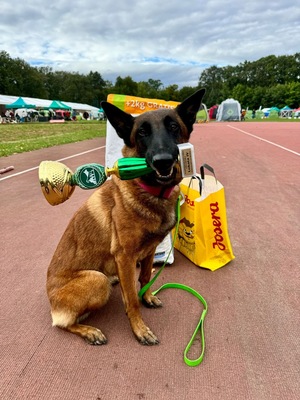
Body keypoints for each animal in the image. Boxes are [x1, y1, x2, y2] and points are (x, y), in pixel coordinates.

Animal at [47, 89, 205, 346]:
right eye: (142, 132)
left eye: (173, 126)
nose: (163, 160)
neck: (149, 191)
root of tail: (51, 302)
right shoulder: (125, 256)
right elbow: (131, 299)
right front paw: (139, 328)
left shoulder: (149, 251)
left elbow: (145, 277)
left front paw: (147, 297)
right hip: (96, 280)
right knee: (63, 323)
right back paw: (89, 331)